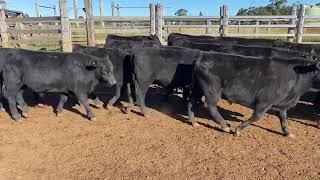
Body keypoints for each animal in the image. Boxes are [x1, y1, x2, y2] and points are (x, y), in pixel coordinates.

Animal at [188, 51, 320, 137]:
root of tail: (203, 55)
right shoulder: (264, 102)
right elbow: (257, 116)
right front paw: (238, 130)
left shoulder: (282, 104)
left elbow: (283, 119)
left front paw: (288, 133)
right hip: (212, 91)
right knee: (209, 105)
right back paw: (225, 126)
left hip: (198, 88)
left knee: (191, 101)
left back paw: (194, 122)